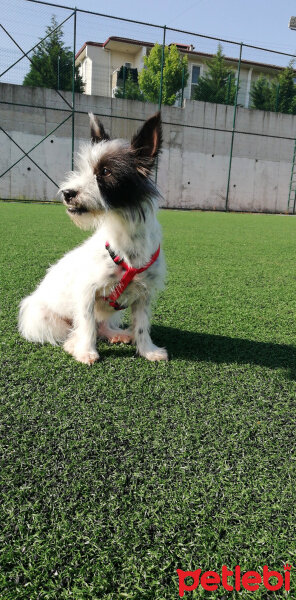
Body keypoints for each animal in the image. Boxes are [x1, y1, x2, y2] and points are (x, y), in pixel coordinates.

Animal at [18, 113, 168, 366]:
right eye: (82, 169)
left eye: (105, 171)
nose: (67, 193)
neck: (126, 237)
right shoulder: (86, 292)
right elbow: (87, 325)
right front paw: (86, 351)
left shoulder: (144, 295)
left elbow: (142, 325)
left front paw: (148, 350)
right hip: (40, 317)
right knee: (73, 330)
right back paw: (74, 345)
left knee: (101, 325)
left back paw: (115, 334)